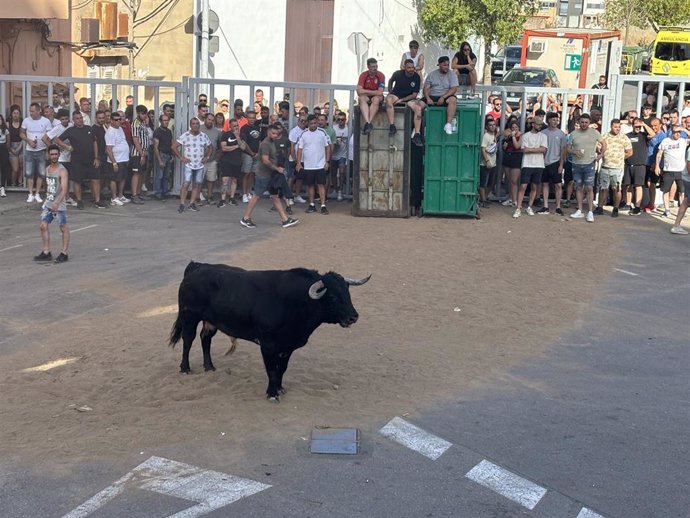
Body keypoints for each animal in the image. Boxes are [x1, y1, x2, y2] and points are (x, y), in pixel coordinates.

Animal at [169, 264, 368, 402]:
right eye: (333, 297)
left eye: (348, 293)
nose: (353, 317)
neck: (293, 302)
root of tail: (196, 267)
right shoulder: (268, 345)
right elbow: (272, 369)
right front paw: (272, 394)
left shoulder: (288, 346)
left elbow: (282, 369)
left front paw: (280, 388)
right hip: (189, 316)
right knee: (188, 340)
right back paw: (185, 368)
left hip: (210, 322)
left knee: (205, 339)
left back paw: (209, 366)